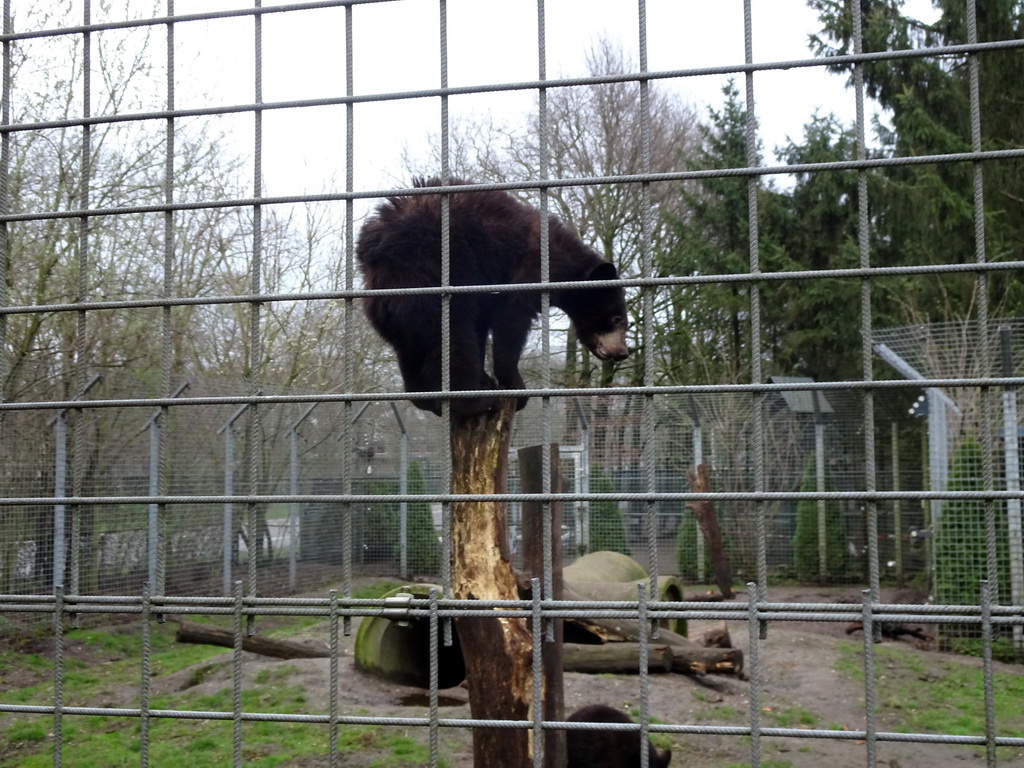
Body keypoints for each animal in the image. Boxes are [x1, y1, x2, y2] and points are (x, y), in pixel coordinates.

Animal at [356, 177, 626, 417]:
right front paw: (515, 386)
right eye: (617, 319)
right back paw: (475, 401)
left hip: (389, 310)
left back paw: (429, 399)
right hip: (429, 283)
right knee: (454, 337)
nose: (623, 352)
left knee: (412, 349)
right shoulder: (533, 269)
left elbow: (483, 325)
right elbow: (511, 317)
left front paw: (487, 379)